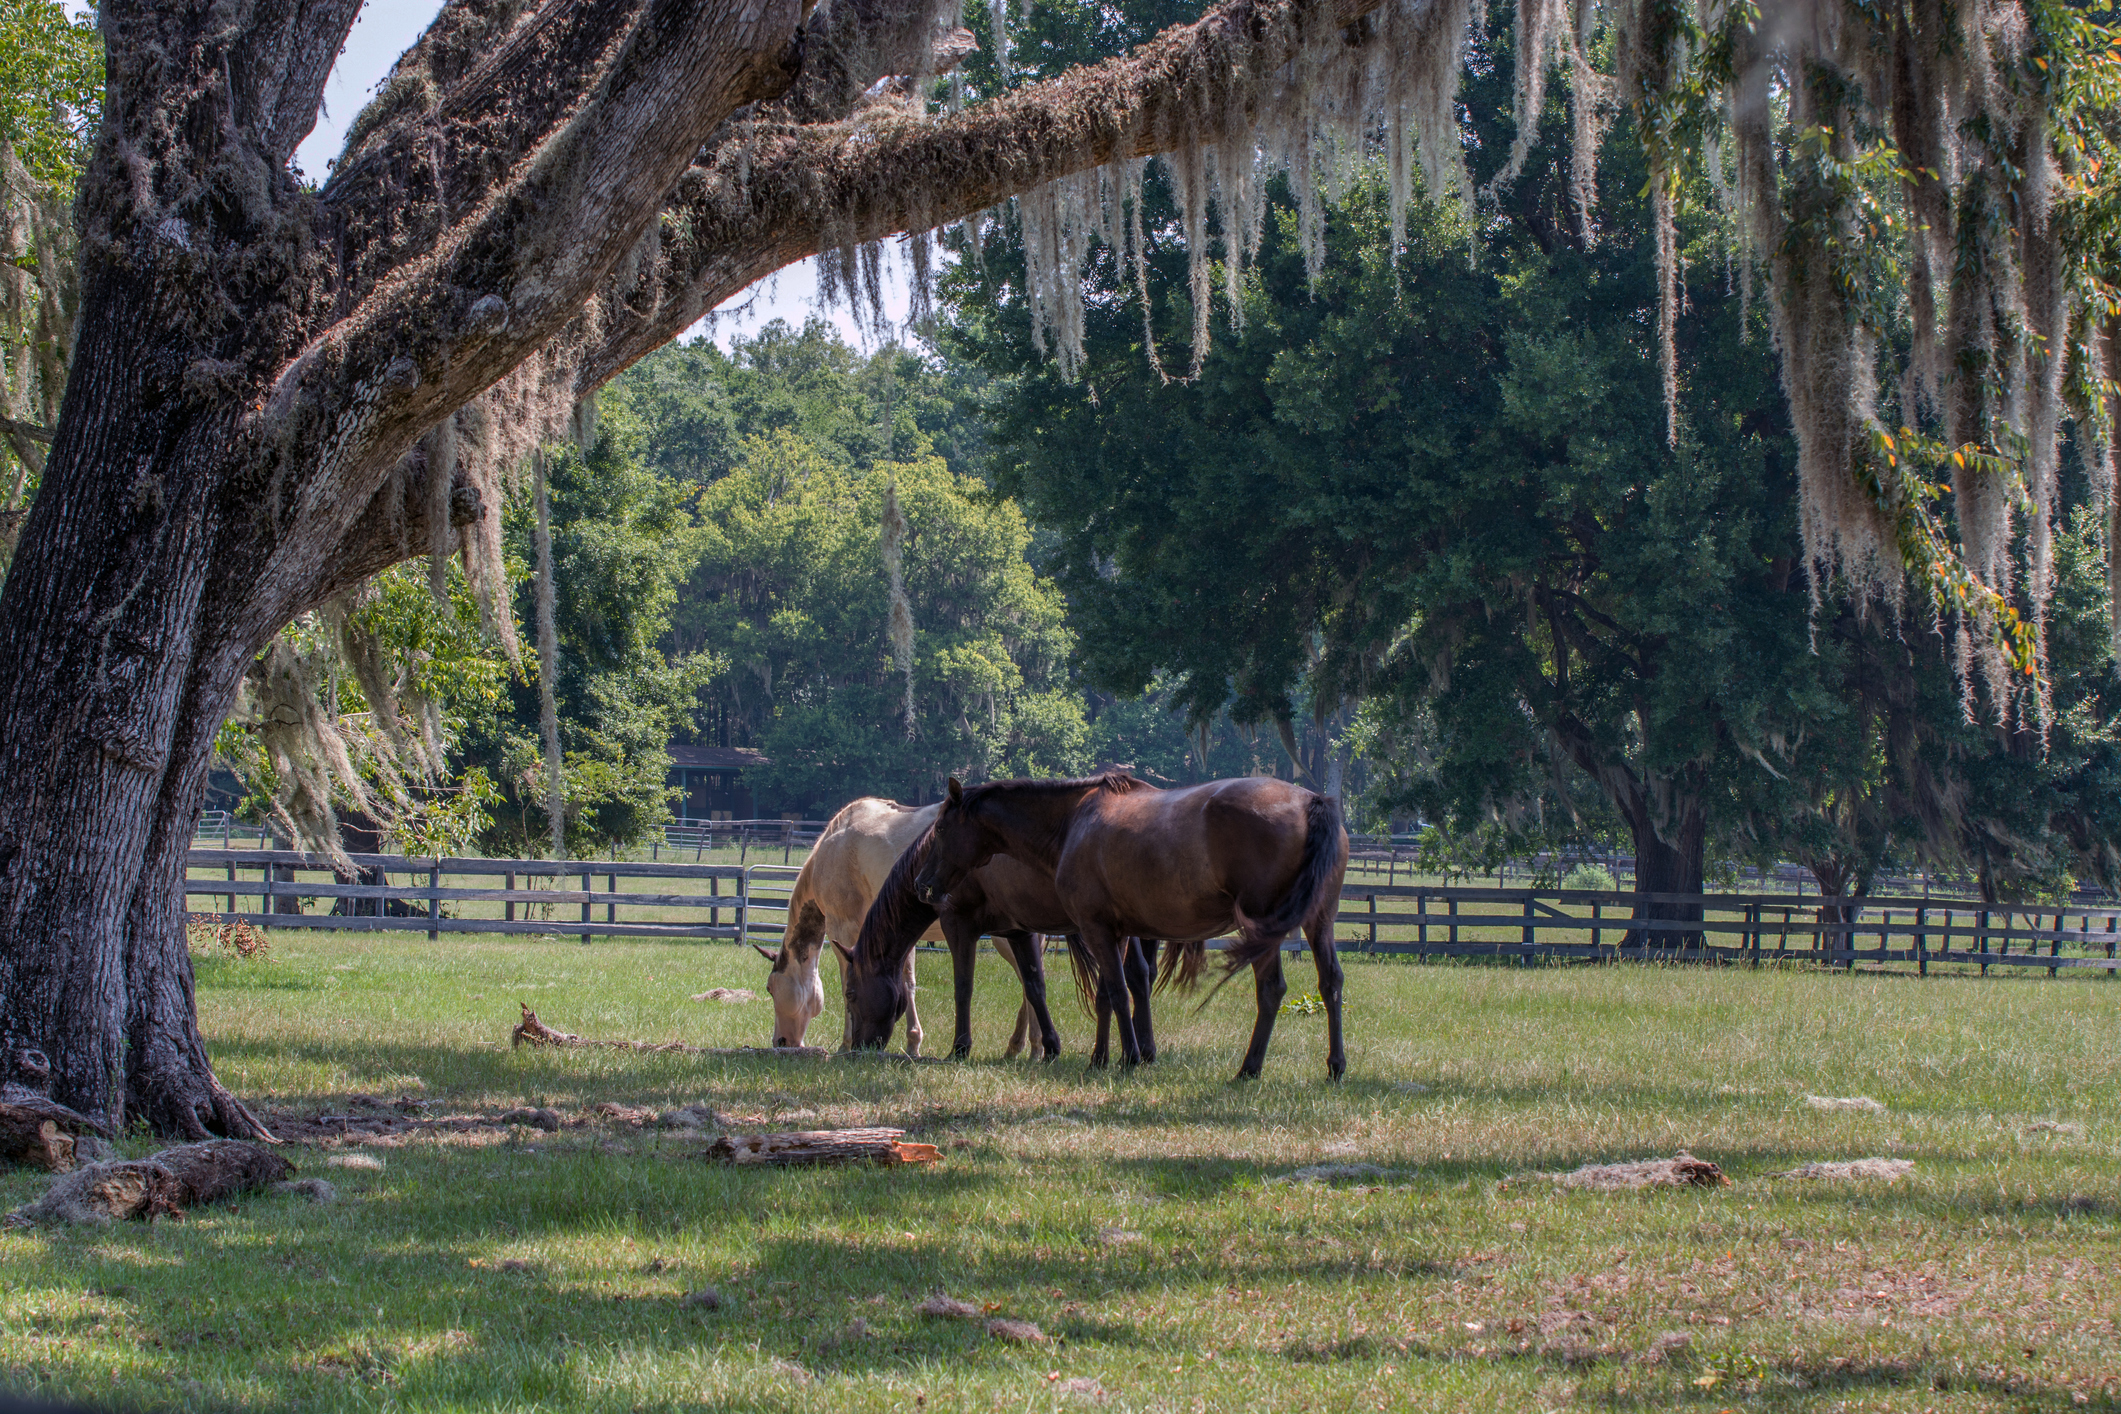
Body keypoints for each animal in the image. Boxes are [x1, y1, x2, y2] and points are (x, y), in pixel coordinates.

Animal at [759, 797, 1060, 1059]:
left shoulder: (843, 929)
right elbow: (908, 982)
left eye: (770, 988)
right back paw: (1021, 1046)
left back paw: (1033, 1047)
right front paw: (913, 1042)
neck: (832, 845)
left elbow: (848, 984)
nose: (780, 1041)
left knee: (1029, 982)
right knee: (1031, 981)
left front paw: (846, 1044)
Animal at [839, 822, 1179, 1068]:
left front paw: (960, 1048)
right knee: (1138, 975)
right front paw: (1051, 1048)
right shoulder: (1017, 932)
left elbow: (963, 987)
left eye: (850, 993)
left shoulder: (958, 926)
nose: (859, 1048)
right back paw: (1145, 1049)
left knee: (1121, 982)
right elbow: (1035, 988)